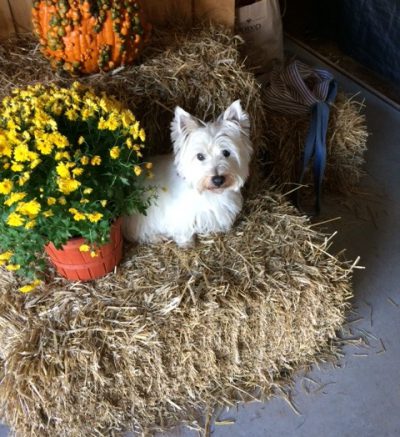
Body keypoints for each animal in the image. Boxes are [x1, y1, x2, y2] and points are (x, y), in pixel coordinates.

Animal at [122, 100, 253, 247]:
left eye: (226, 152)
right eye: (200, 156)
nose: (218, 180)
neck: (209, 193)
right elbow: (183, 230)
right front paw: (187, 243)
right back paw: (157, 237)